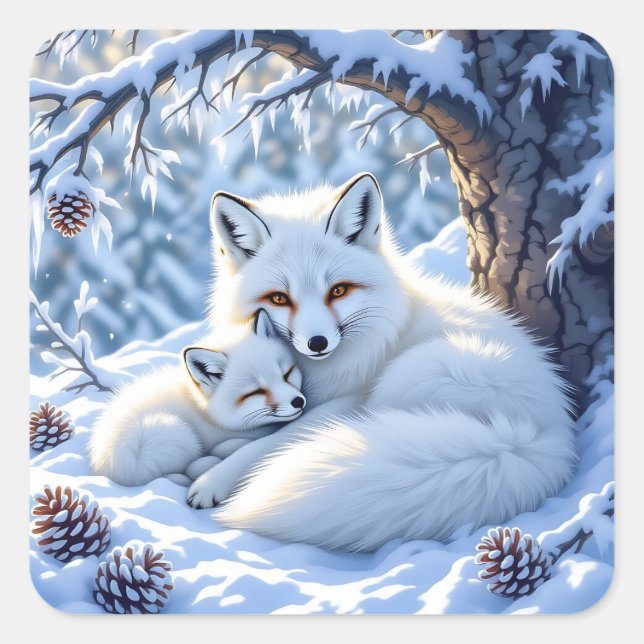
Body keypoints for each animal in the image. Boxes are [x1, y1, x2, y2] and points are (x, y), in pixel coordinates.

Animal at [88, 310, 306, 504]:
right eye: (256, 392)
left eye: (287, 374)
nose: (298, 401)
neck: (206, 414)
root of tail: (104, 461)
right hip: (172, 433)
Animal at [188, 171, 578, 552]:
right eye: (280, 298)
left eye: (338, 291)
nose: (317, 343)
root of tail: (537, 437)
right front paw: (221, 452)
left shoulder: (346, 400)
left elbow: (275, 440)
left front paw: (214, 479)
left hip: (409, 376)